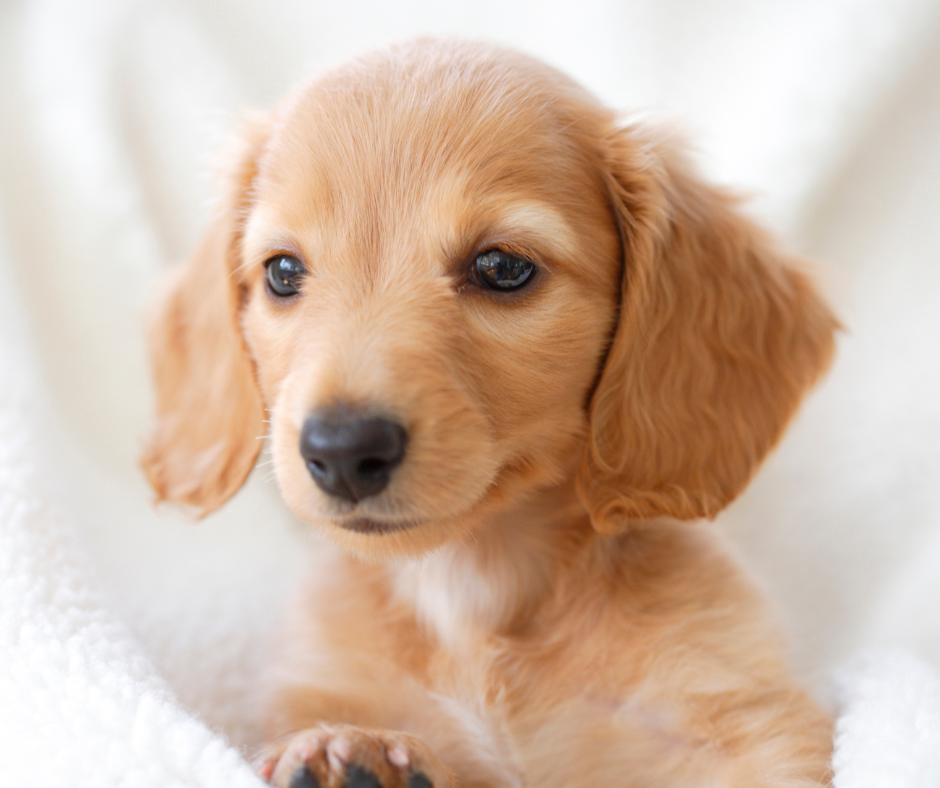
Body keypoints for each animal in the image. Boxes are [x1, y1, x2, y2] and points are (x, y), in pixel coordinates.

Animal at [145, 38, 836, 788]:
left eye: (501, 267)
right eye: (282, 272)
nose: (342, 450)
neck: (471, 589)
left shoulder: (742, 720)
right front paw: (349, 750)